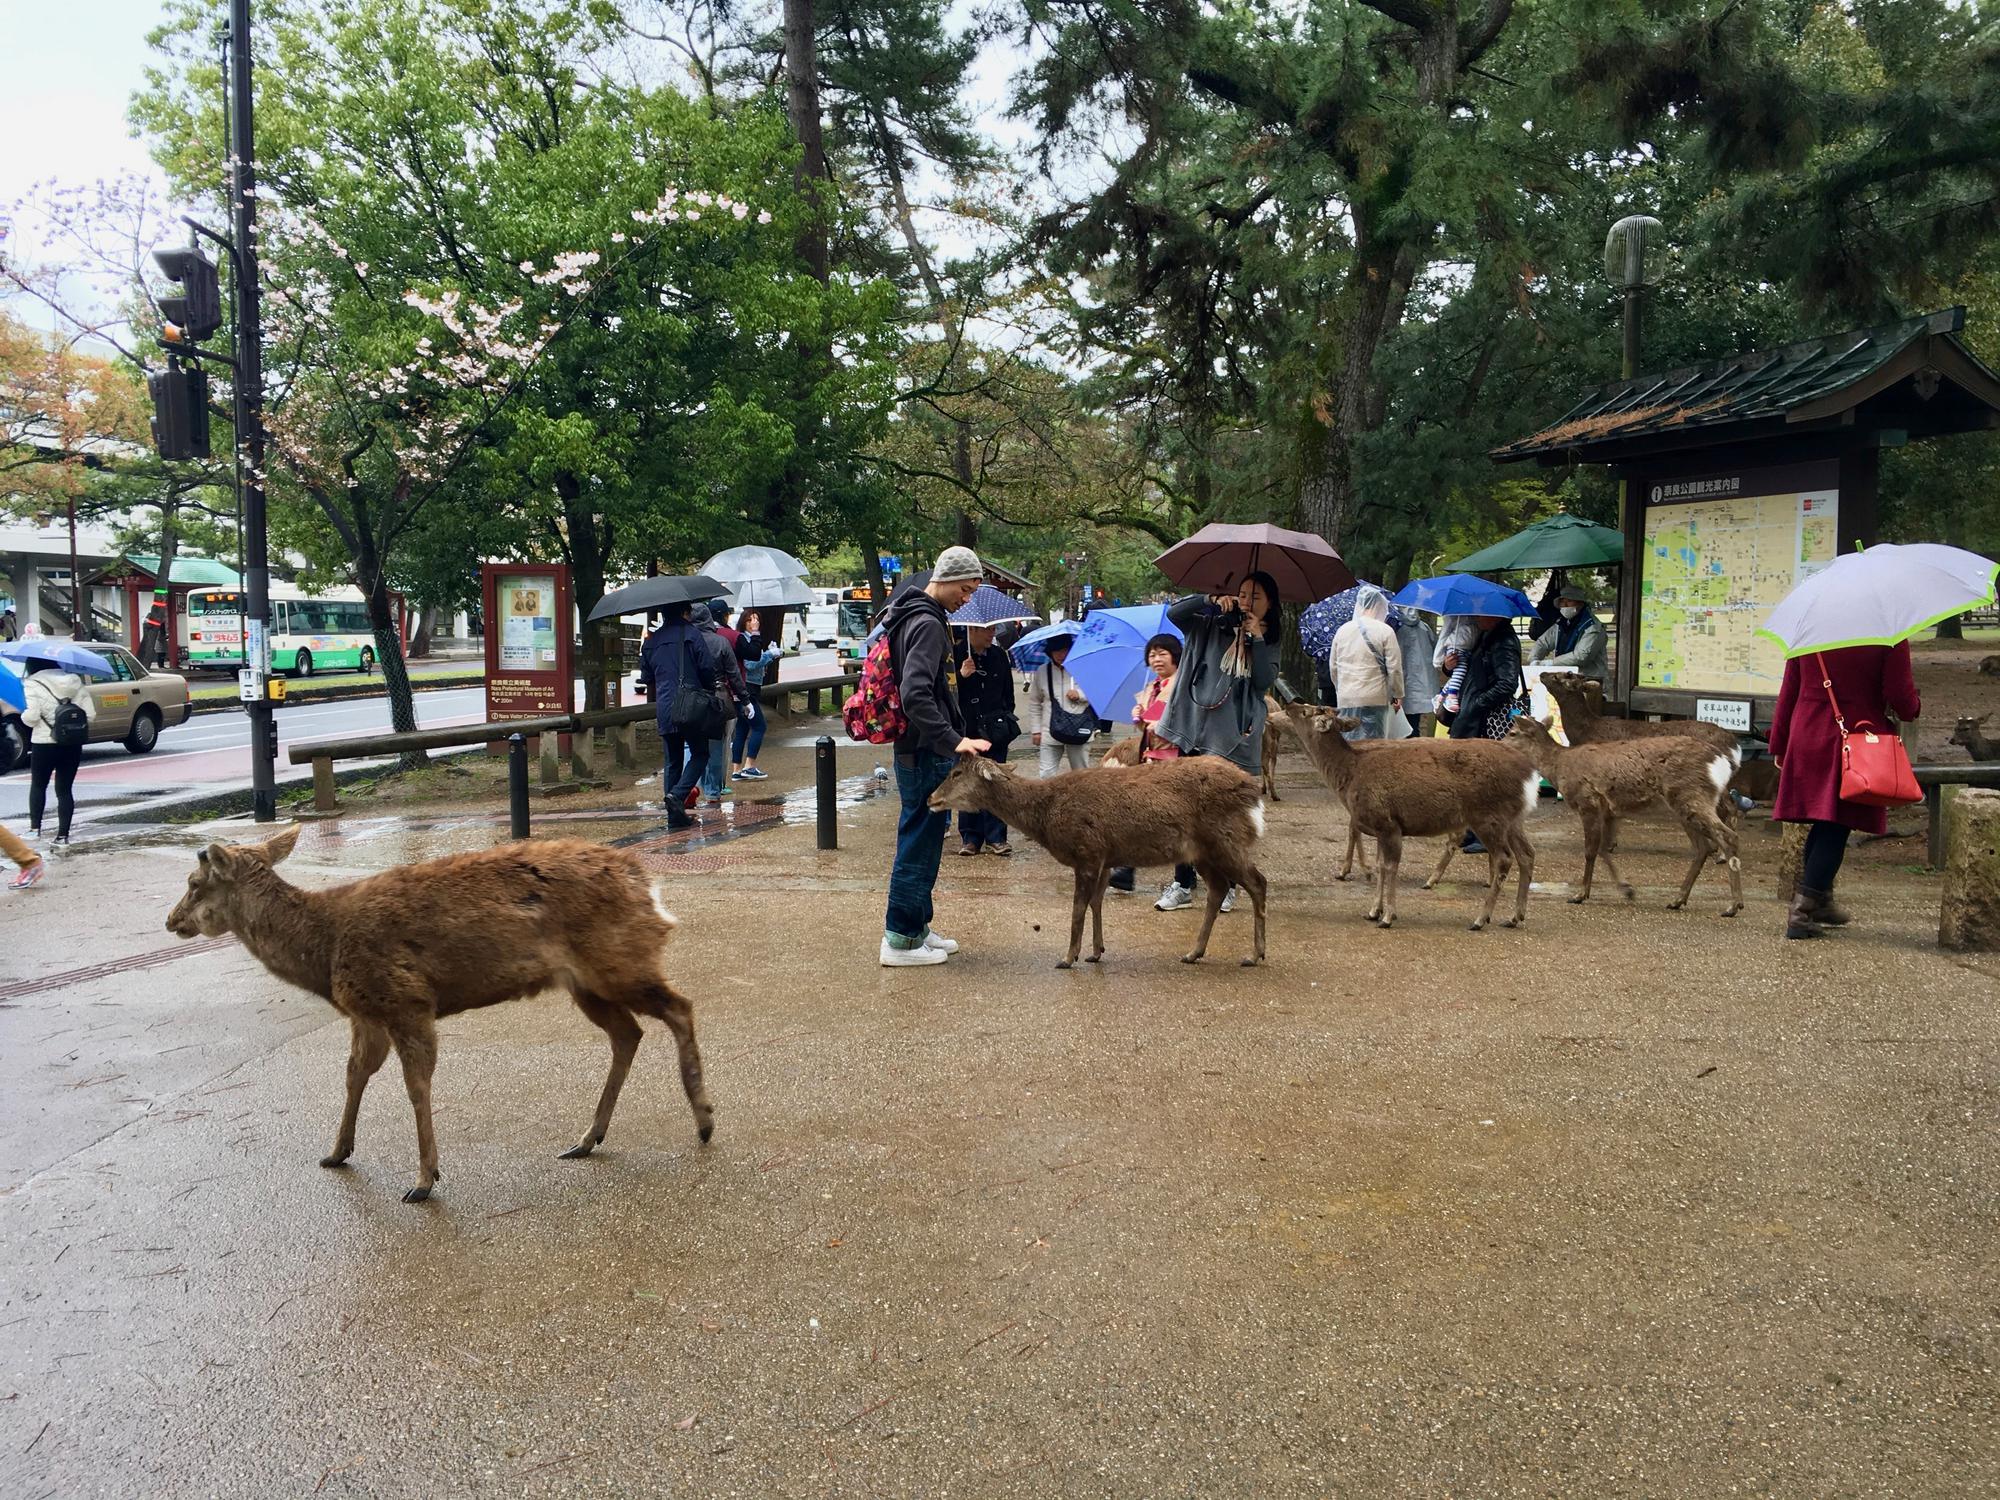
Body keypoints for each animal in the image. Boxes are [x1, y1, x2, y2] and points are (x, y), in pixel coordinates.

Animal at [164, 828, 716, 1208]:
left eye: (193, 883)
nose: (171, 921)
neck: (325, 951)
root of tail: (647, 886)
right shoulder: (366, 1014)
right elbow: (355, 1074)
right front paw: (337, 1152)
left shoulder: (406, 999)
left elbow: (416, 1084)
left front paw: (424, 1180)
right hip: (587, 983)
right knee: (630, 1032)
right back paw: (586, 1138)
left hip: (618, 960)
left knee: (680, 1007)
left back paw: (704, 1120)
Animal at [924, 756, 1264, 968]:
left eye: (956, 773)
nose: (930, 798)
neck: (1046, 817)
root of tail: (1254, 793)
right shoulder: (1105, 856)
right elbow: (1096, 903)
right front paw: (1096, 952)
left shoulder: (1087, 851)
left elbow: (1078, 908)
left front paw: (1068, 957)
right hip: (1202, 852)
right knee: (1219, 889)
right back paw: (1194, 953)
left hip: (1225, 841)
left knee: (1257, 883)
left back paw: (1254, 954)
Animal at [1272, 704, 1536, 936]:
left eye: (1307, 710)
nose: (1289, 703)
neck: (1349, 775)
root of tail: (1529, 775)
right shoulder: (1380, 828)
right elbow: (1380, 866)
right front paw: (1373, 911)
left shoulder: (1388, 823)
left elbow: (1391, 867)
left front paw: (1388, 916)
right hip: (1512, 819)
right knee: (1527, 854)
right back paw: (1514, 917)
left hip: (1487, 815)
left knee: (1504, 858)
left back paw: (1480, 919)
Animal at [1504, 712, 1744, 916]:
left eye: (1513, 732)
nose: (1499, 744)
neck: (1559, 767)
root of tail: (1721, 760)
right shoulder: (1610, 811)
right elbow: (1603, 849)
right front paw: (1627, 889)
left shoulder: (1587, 802)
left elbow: (1590, 851)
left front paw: (1580, 894)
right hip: (1686, 804)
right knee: (1702, 848)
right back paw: (1678, 900)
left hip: (1691, 795)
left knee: (1727, 836)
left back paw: (1733, 905)